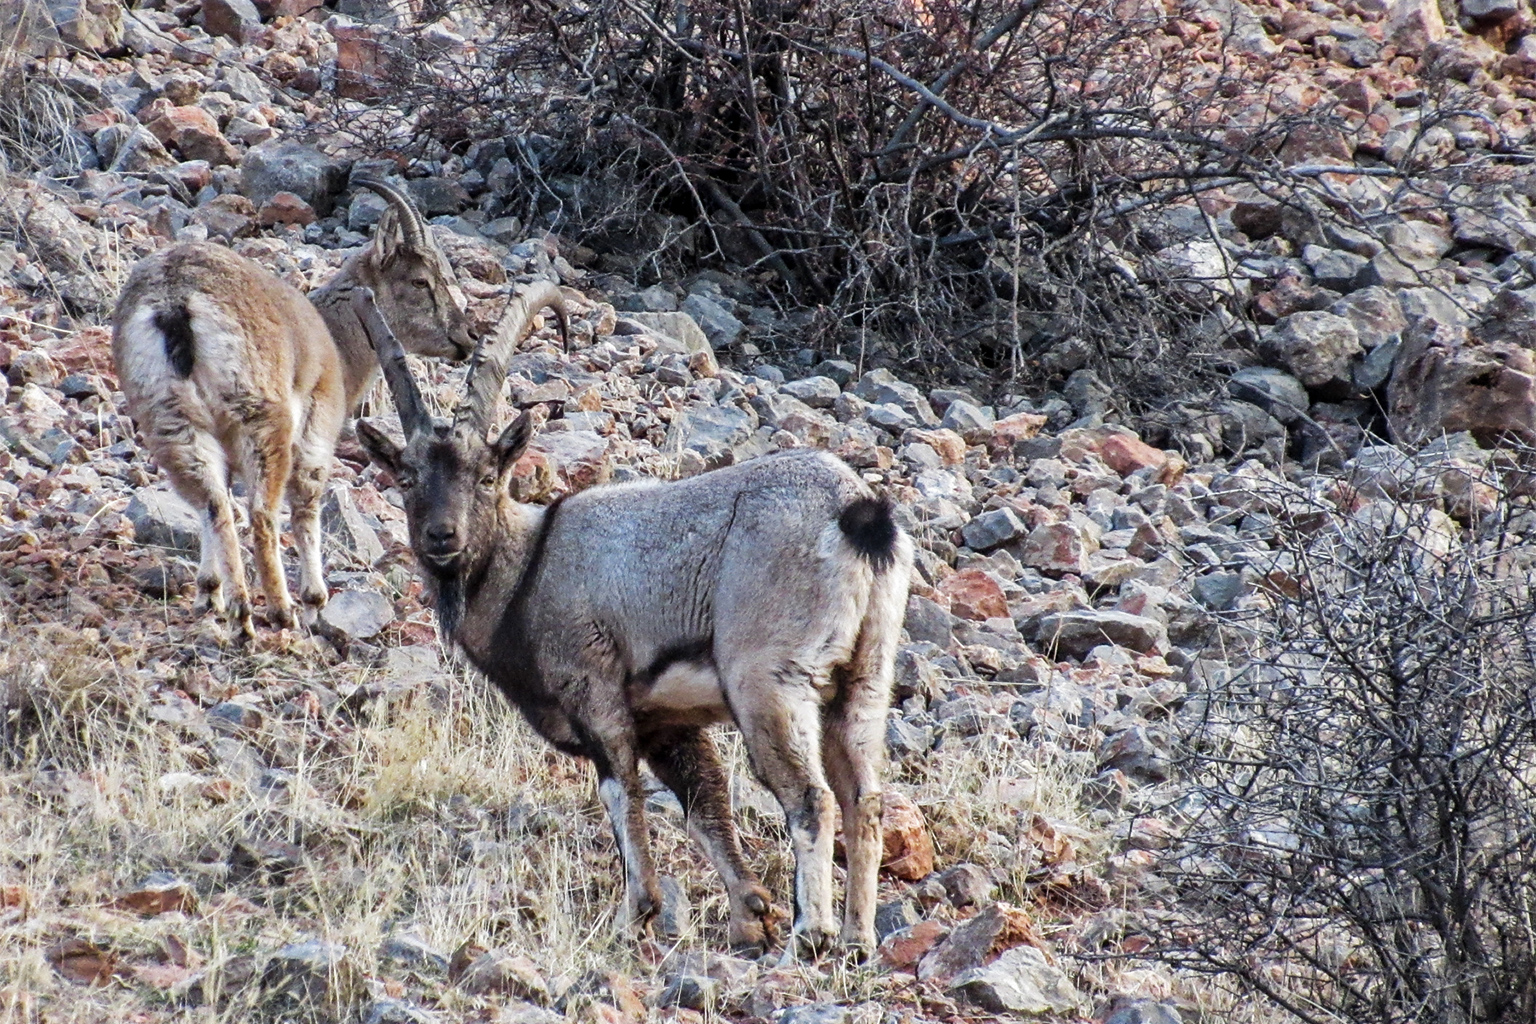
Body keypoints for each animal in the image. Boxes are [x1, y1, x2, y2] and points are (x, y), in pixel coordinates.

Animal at [111, 177, 472, 637]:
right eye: (421, 281)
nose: (465, 336)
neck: (337, 341)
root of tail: (174, 302)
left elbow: (214, 504)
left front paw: (208, 591)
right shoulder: (318, 428)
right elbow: (307, 505)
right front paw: (316, 602)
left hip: (169, 418)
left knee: (214, 503)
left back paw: (238, 609)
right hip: (262, 416)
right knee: (262, 513)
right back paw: (278, 609)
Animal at [352, 286, 914, 957]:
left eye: (487, 476)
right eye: (408, 477)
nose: (443, 537)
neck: (526, 568)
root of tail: (857, 513)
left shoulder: (596, 696)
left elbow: (621, 794)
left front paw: (638, 913)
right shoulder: (665, 721)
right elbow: (705, 806)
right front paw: (750, 916)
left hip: (770, 682)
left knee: (812, 799)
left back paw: (814, 931)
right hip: (863, 679)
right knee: (865, 799)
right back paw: (858, 937)